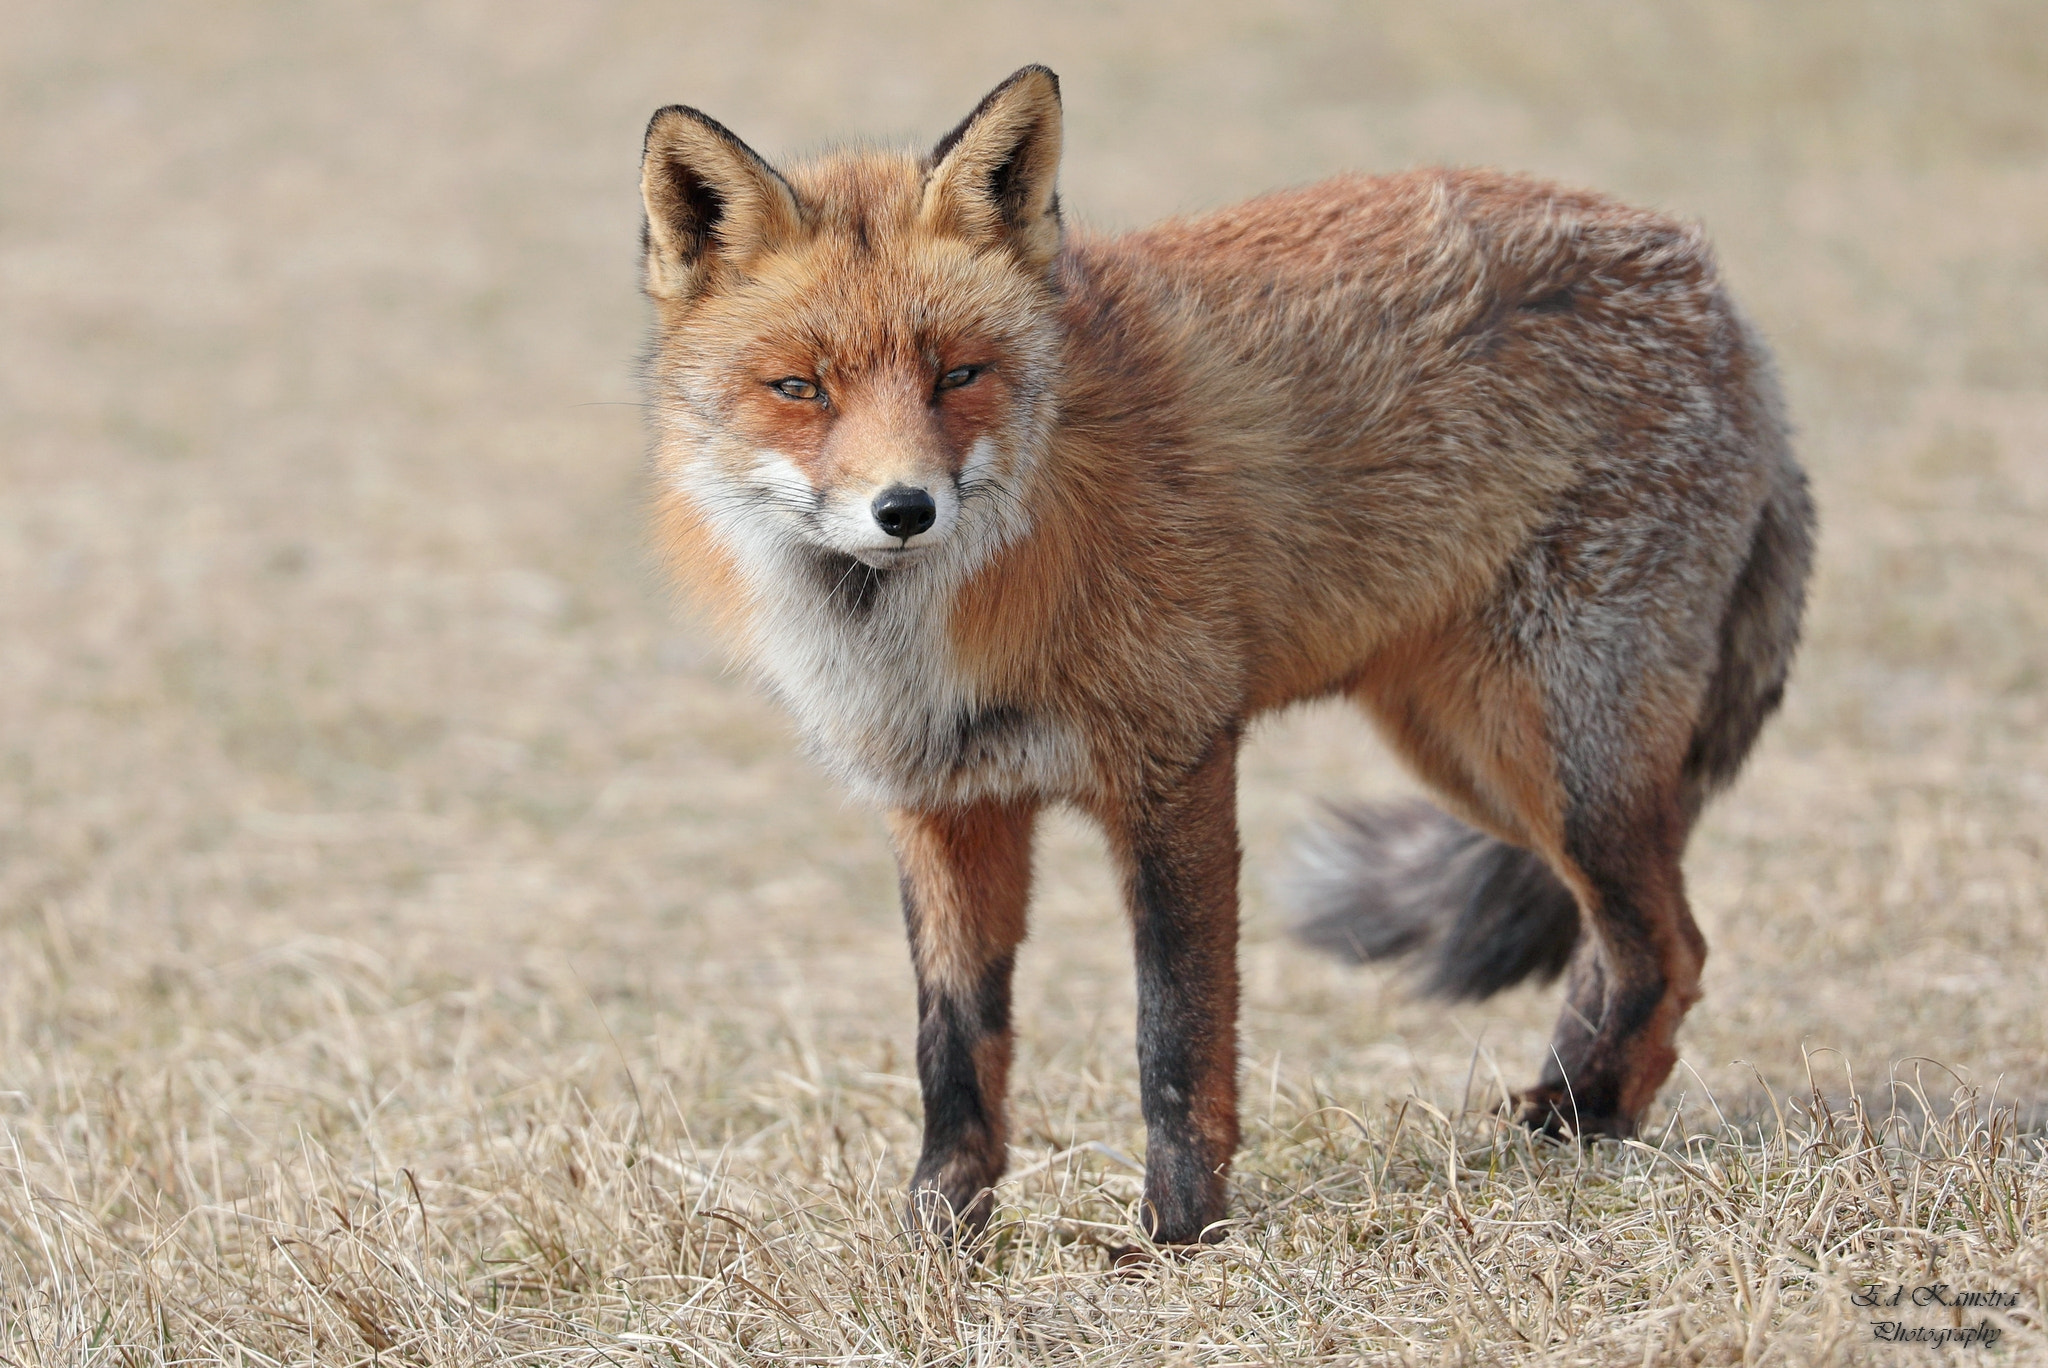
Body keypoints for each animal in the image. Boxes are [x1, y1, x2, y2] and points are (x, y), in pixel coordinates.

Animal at [637, 65, 1813, 1248]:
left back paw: (1587, 1122)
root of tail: (1717, 288)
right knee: (1613, 943)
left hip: (1558, 755)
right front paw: (941, 1236)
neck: (927, 636)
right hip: (1470, 758)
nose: (904, 510)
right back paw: (1563, 1111)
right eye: (801, 389)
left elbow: (1177, 1028)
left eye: (958, 374)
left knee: (1668, 946)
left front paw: (1177, 1231)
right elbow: (956, 1045)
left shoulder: (1177, 764)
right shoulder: (945, 803)